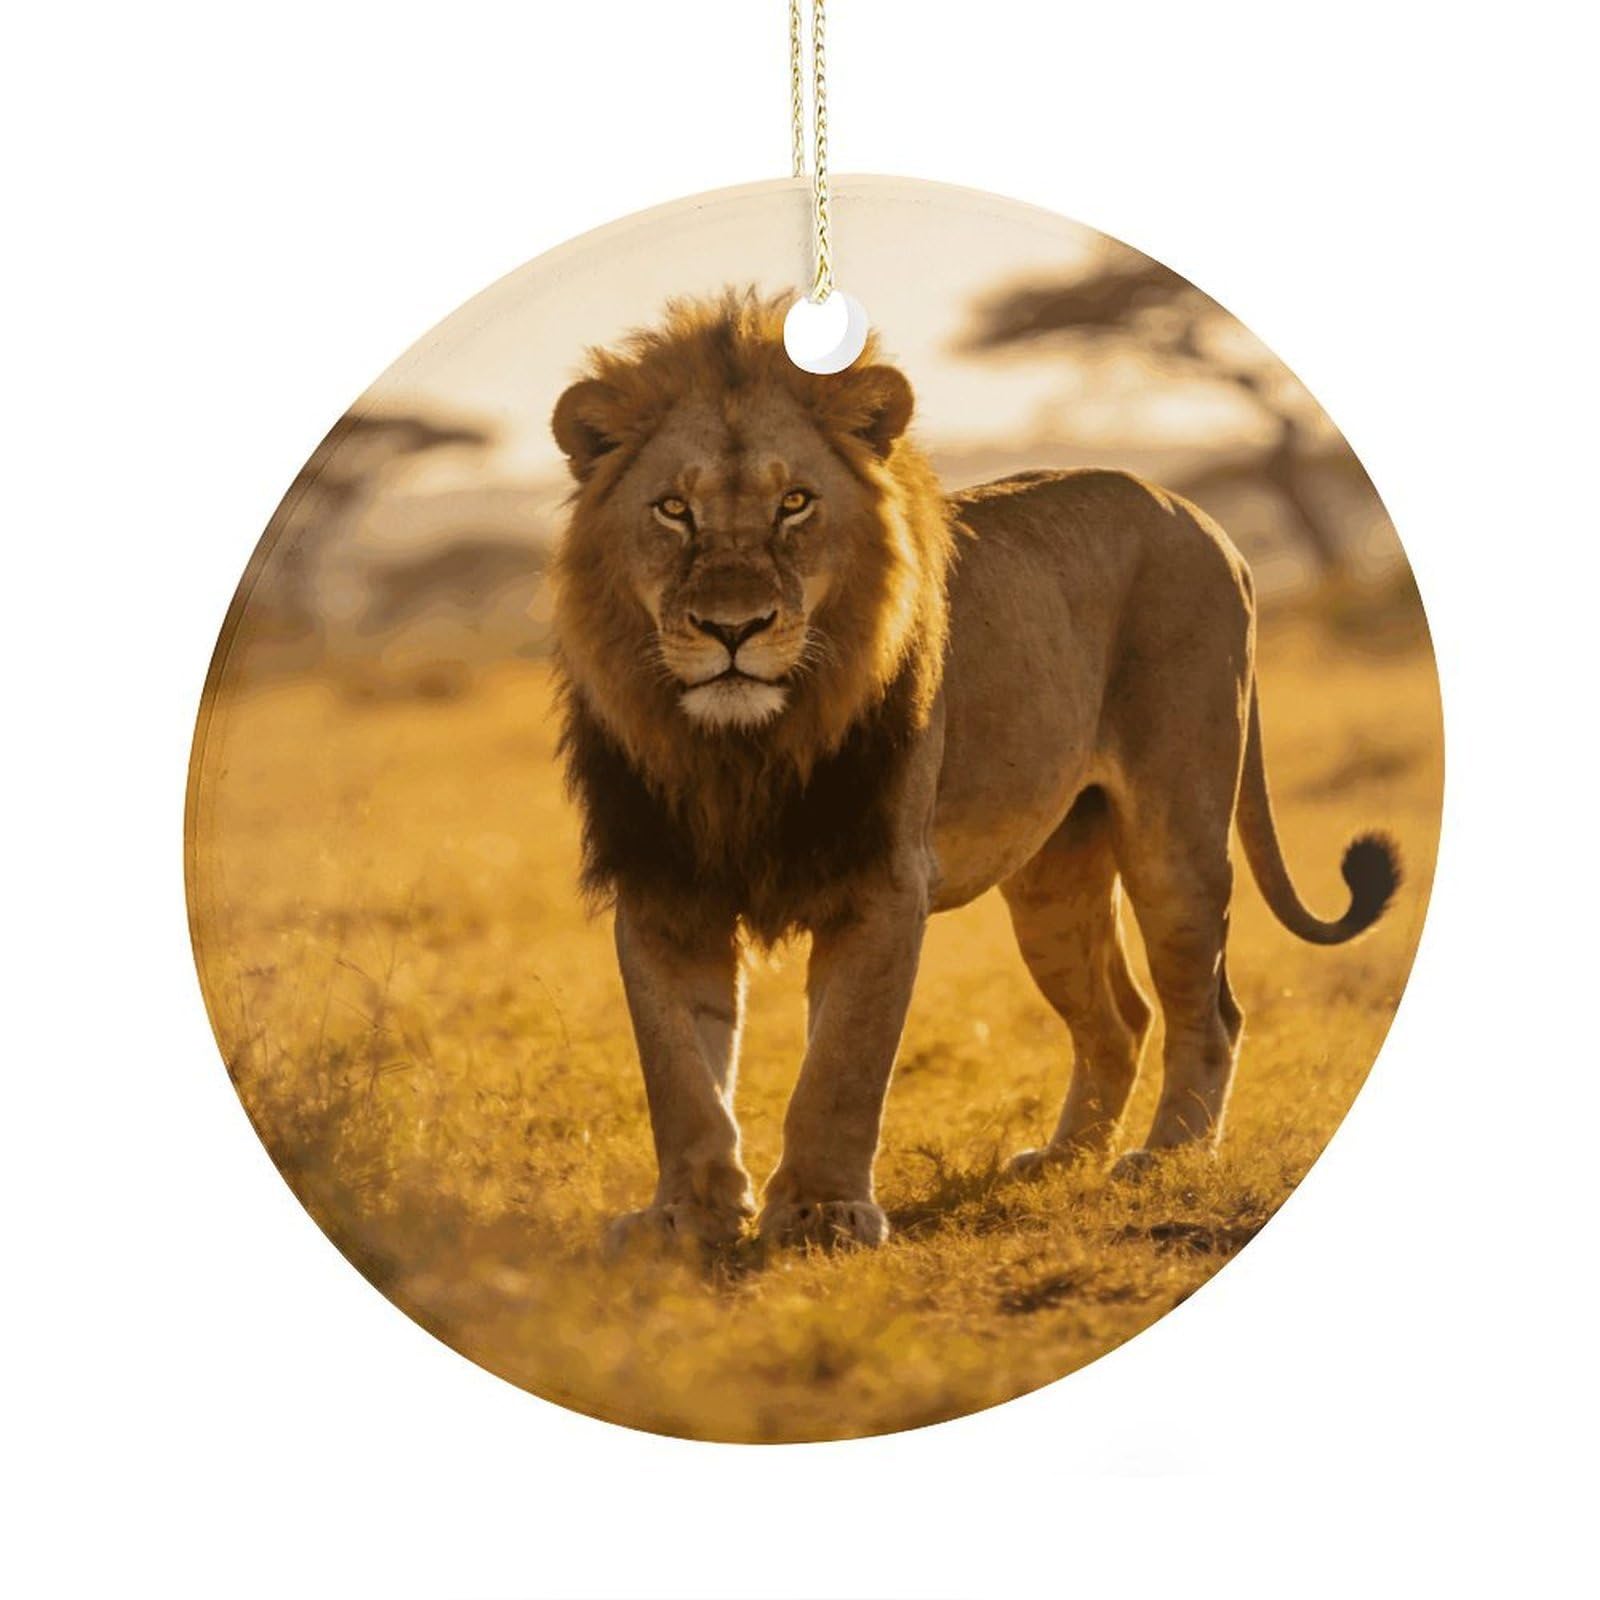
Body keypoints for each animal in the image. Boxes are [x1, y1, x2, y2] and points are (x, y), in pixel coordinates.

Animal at [549, 290, 1398, 1250]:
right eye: (673, 511)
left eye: (795, 503)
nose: (735, 628)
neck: (739, 749)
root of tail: (1206, 519)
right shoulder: (661, 882)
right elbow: (680, 1073)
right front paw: (684, 1218)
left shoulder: (883, 879)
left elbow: (842, 1064)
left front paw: (821, 1213)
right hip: (1053, 880)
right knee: (1120, 1019)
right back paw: (1063, 1158)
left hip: (1176, 834)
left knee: (1207, 1010)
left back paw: (1167, 1154)